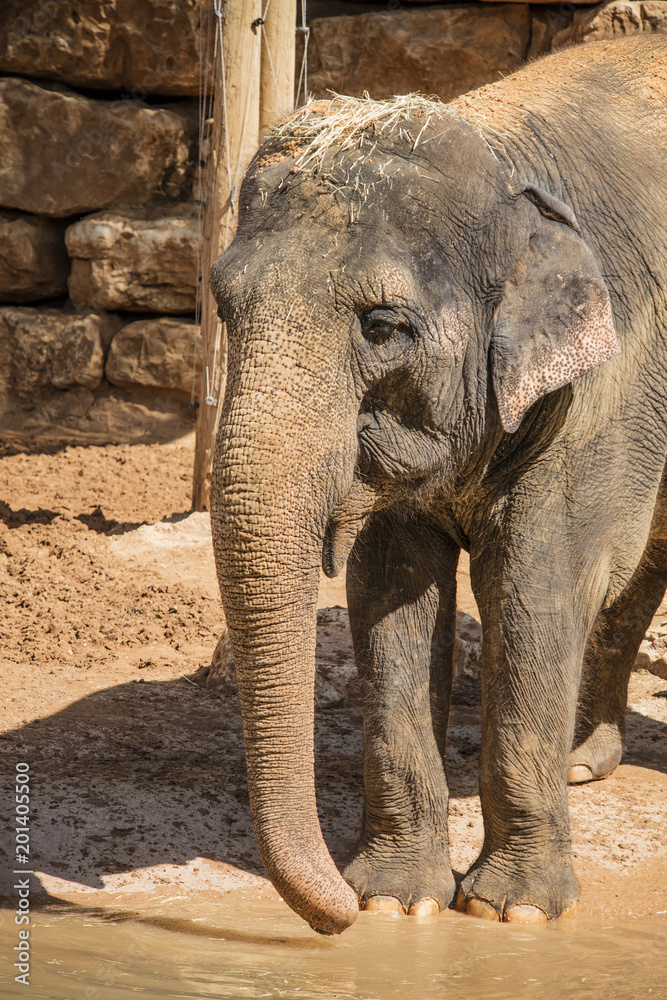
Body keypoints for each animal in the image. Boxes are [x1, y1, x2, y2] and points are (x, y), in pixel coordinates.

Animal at [209, 37, 667, 934]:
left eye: (384, 327)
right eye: (221, 302)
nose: (333, 921)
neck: (501, 155)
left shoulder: (603, 387)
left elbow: (532, 584)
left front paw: (511, 914)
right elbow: (389, 587)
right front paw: (394, 902)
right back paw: (584, 763)